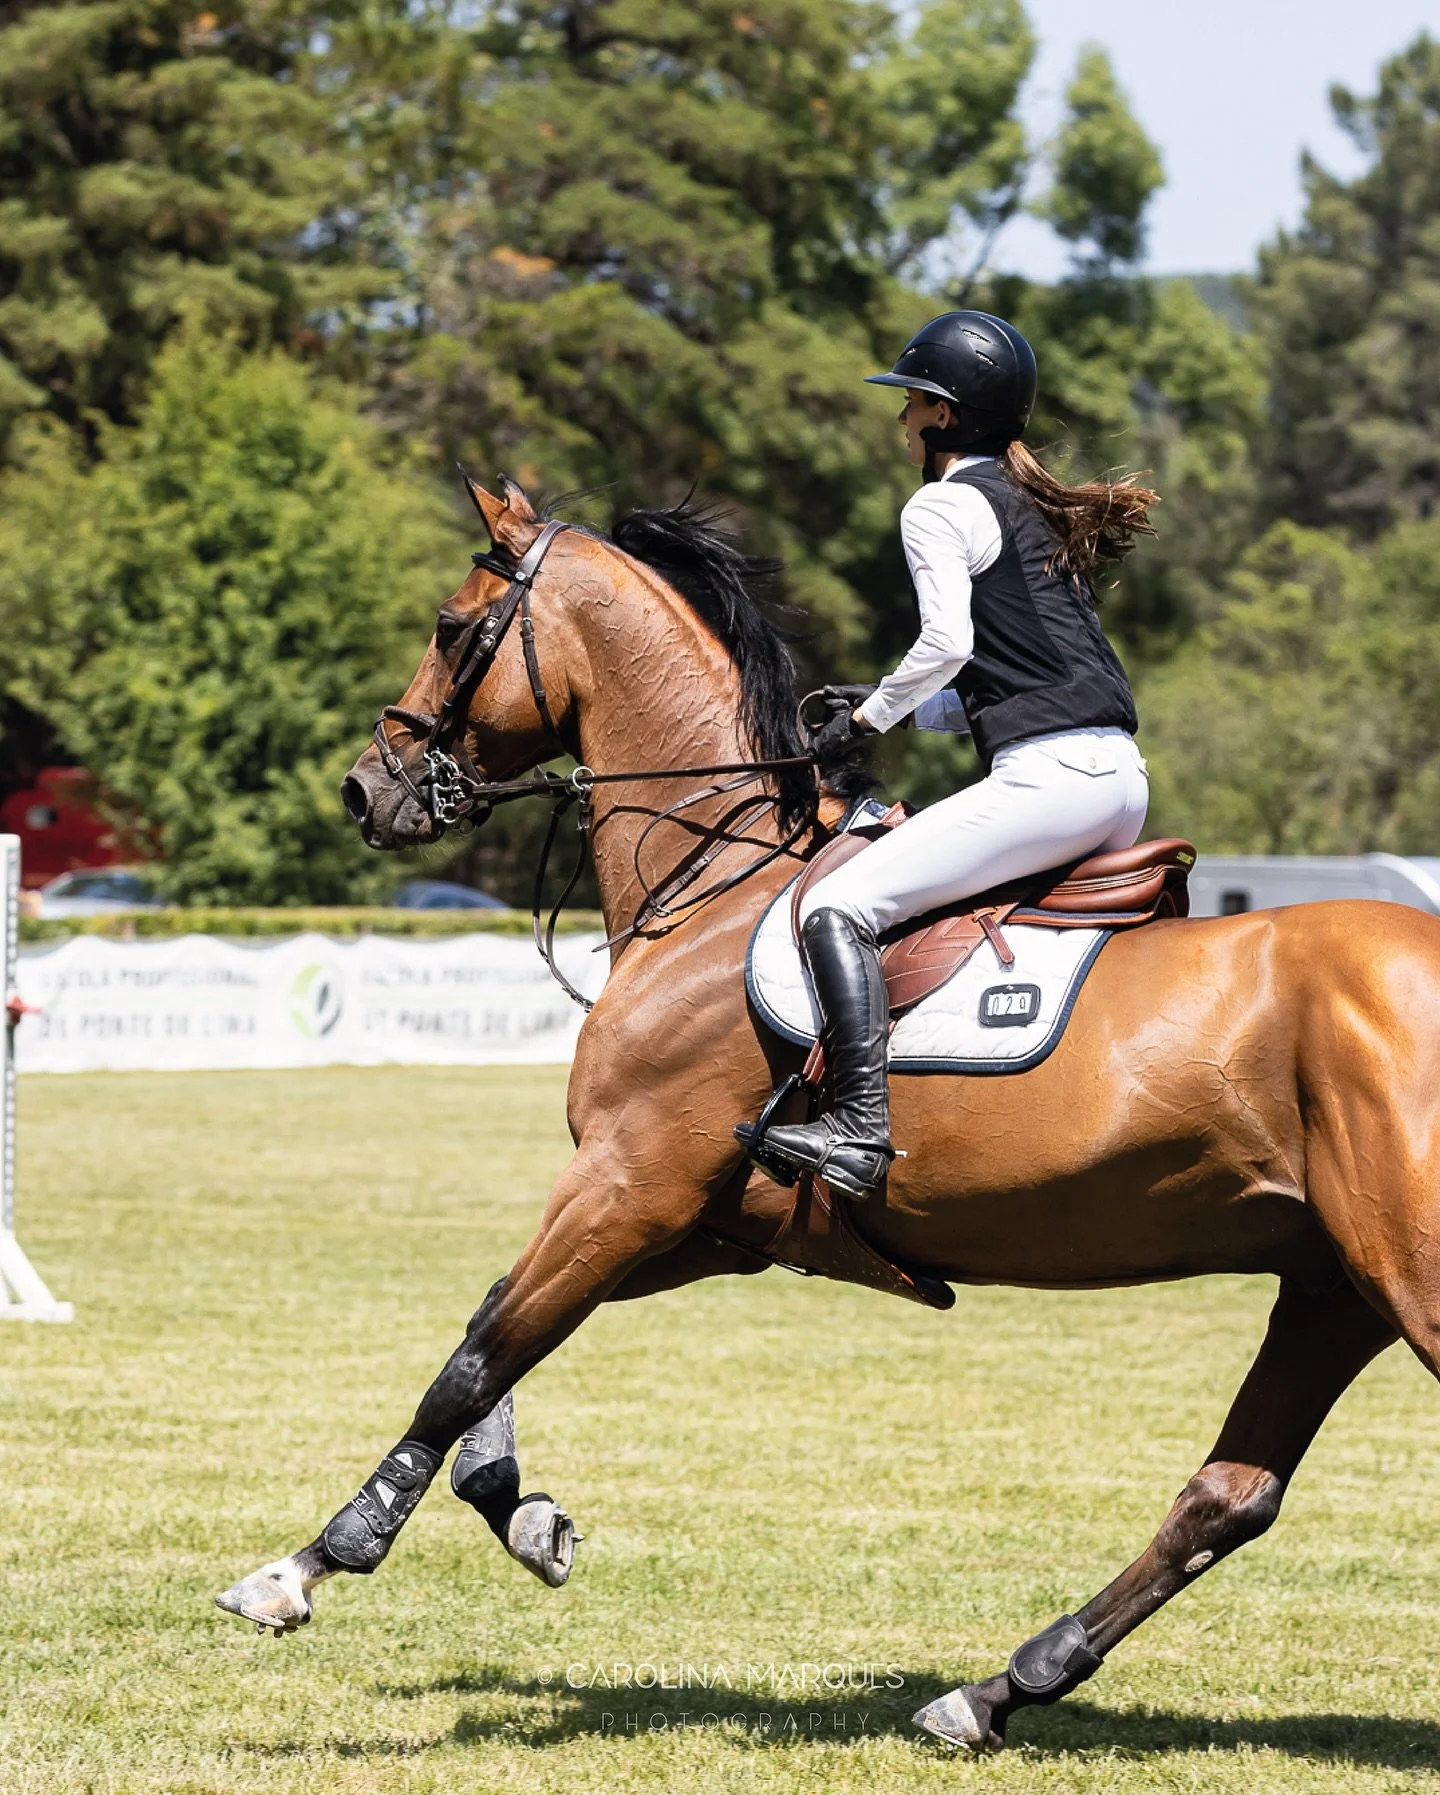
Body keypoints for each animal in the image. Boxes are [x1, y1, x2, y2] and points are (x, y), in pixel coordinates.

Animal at [216, 473, 1440, 1754]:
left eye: (454, 629)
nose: (368, 787)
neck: (709, 883)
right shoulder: (706, 1221)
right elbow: (500, 1326)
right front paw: (521, 1511)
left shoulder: (630, 1185)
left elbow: (475, 1355)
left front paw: (311, 1562)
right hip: (1331, 1284)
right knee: (1228, 1495)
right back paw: (993, 1690)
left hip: (1400, 1269)